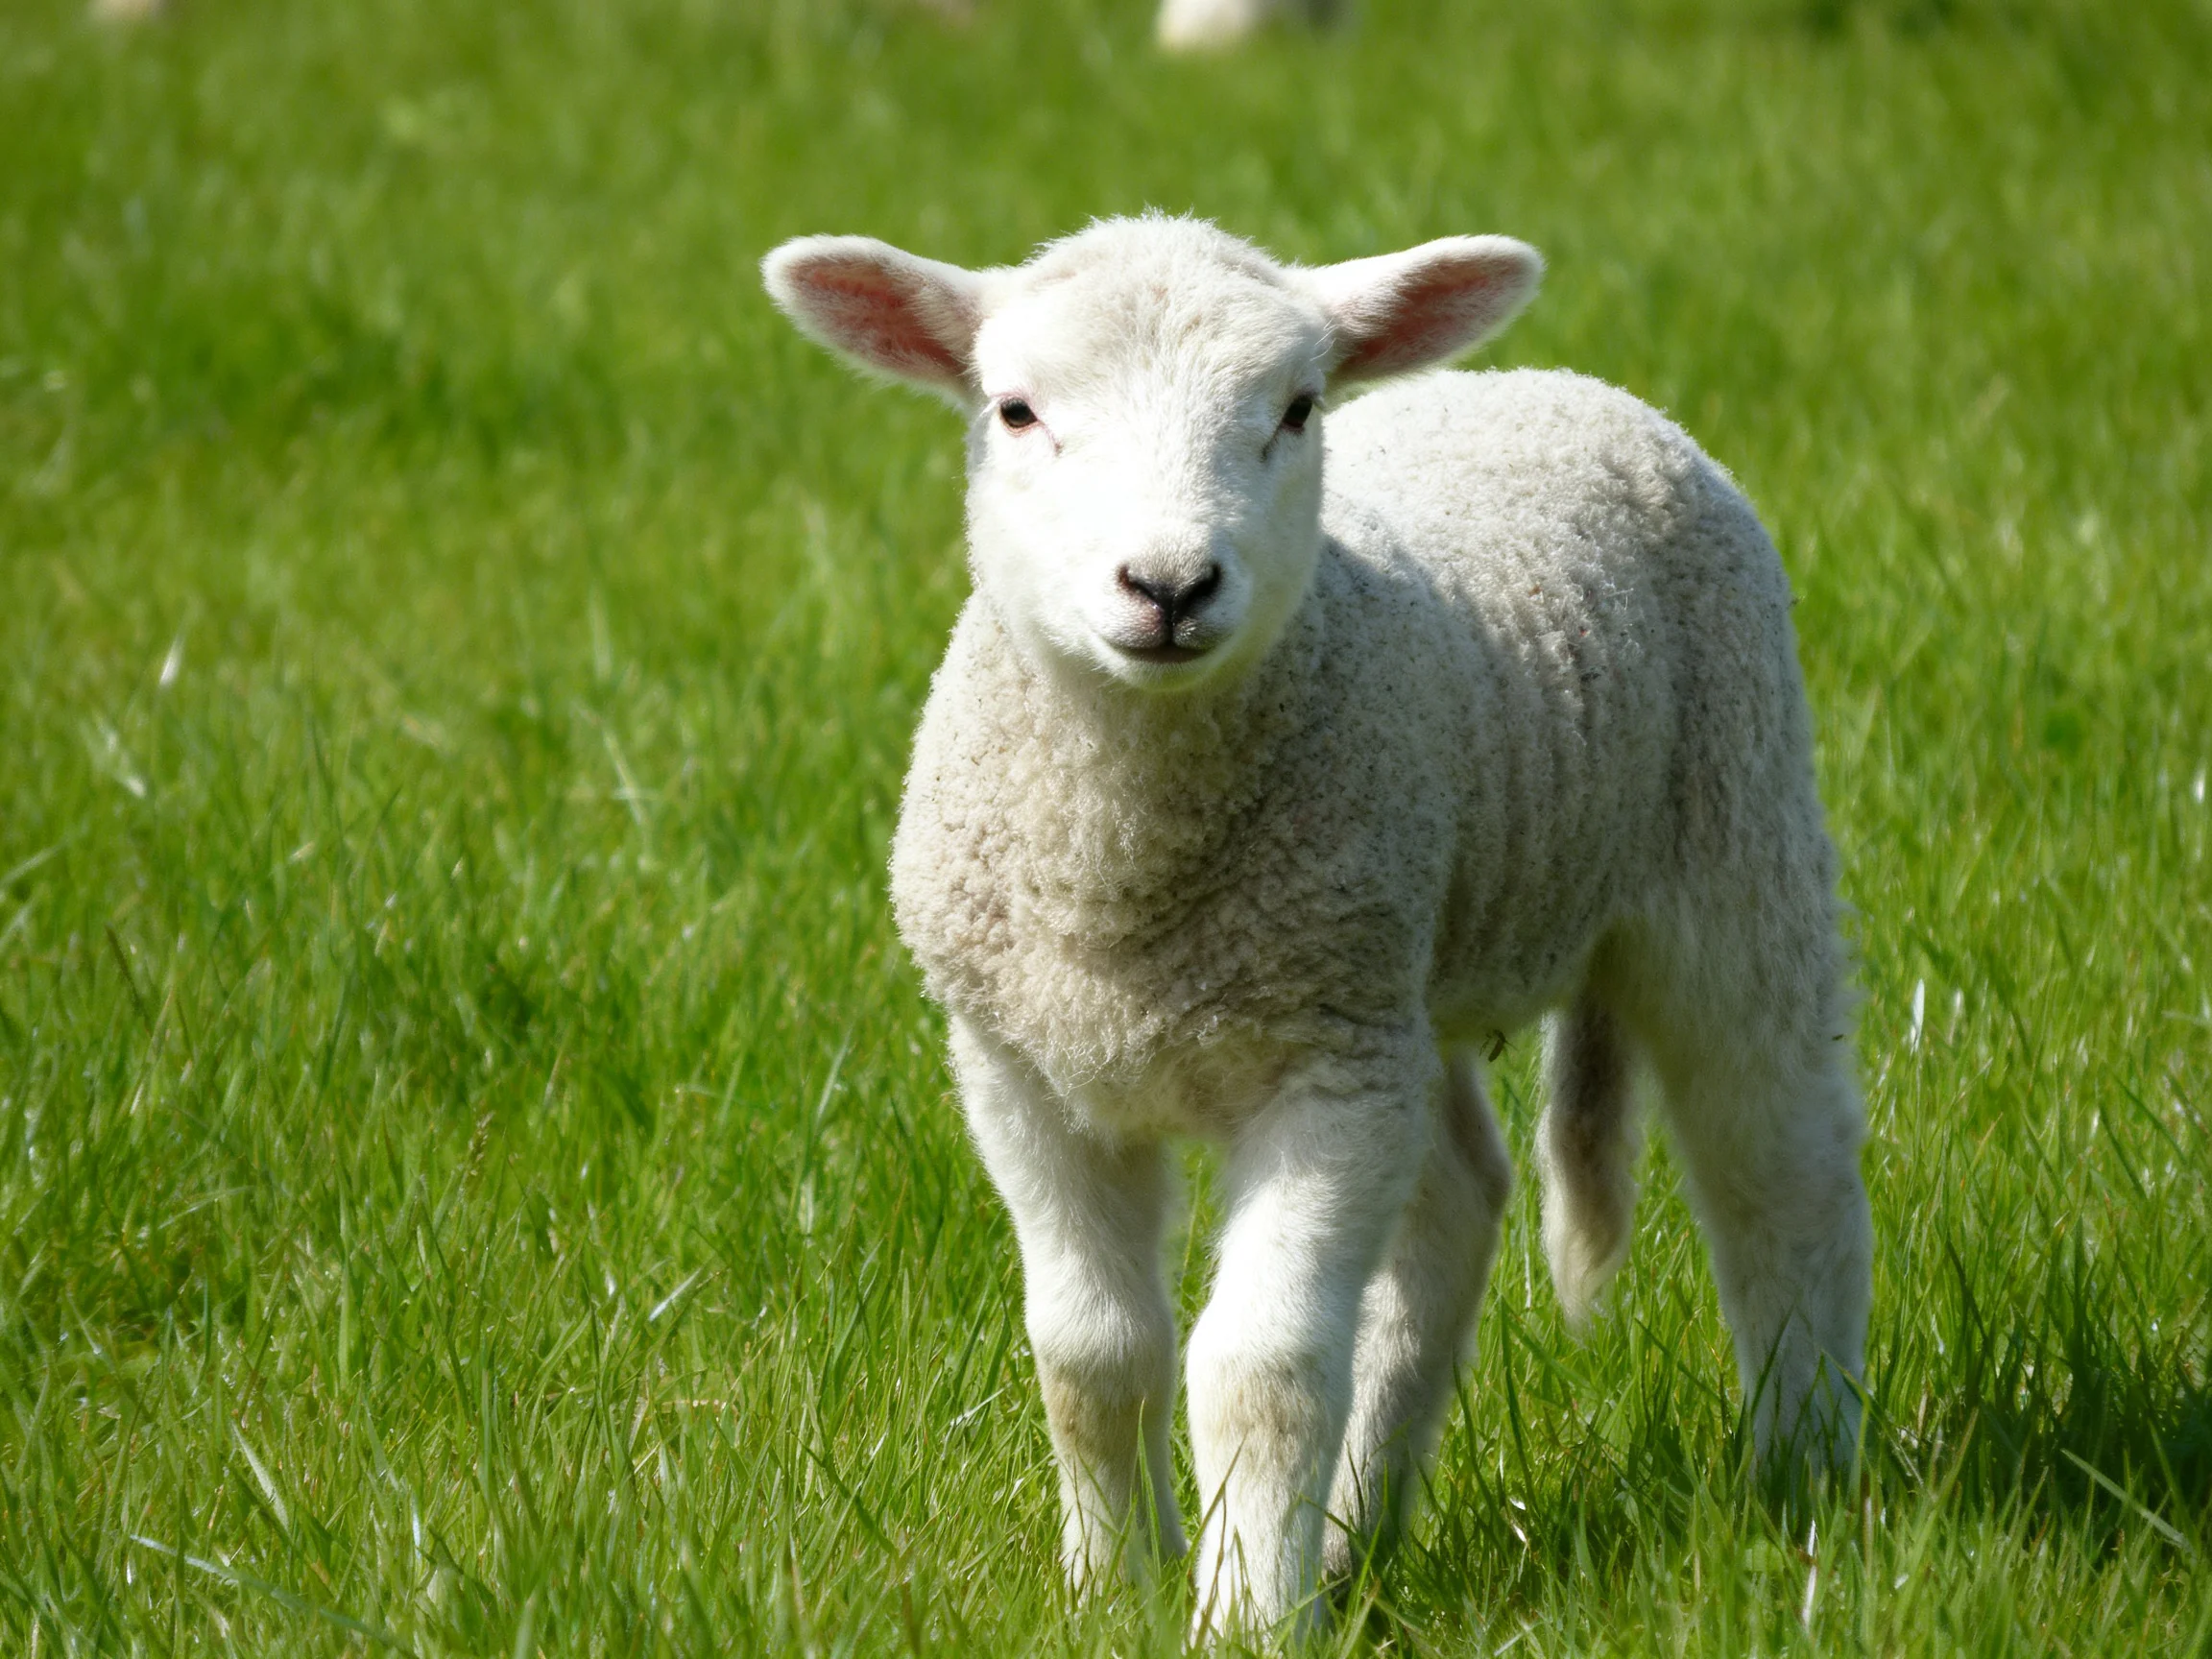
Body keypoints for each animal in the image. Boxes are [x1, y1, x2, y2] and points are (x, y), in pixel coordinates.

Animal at [761, 214, 1872, 1638]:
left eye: (1293, 409)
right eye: (1015, 411)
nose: (1170, 585)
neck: (1122, 894)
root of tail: (1555, 382)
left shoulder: (1323, 1071)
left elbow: (1262, 1366)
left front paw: (1241, 1615)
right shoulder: (1022, 1068)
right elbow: (1092, 1353)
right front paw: (1113, 1589)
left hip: (1732, 848)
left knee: (1780, 1173)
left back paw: (1805, 1483)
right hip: (1403, 973)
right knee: (1457, 1206)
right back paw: (1354, 1537)